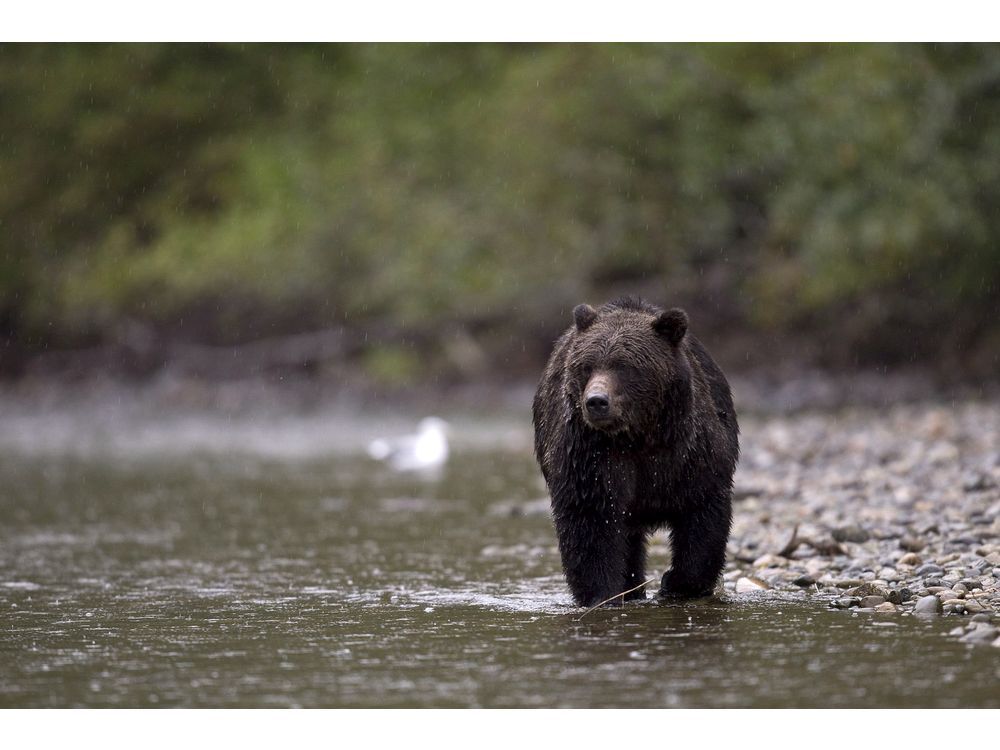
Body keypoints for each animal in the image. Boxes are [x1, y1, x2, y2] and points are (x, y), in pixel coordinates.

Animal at [536, 296, 740, 608]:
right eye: (587, 366)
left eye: (624, 366)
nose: (596, 401)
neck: (638, 435)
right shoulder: (589, 455)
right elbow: (590, 520)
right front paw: (603, 593)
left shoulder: (691, 453)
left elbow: (703, 513)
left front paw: (676, 582)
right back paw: (631, 587)